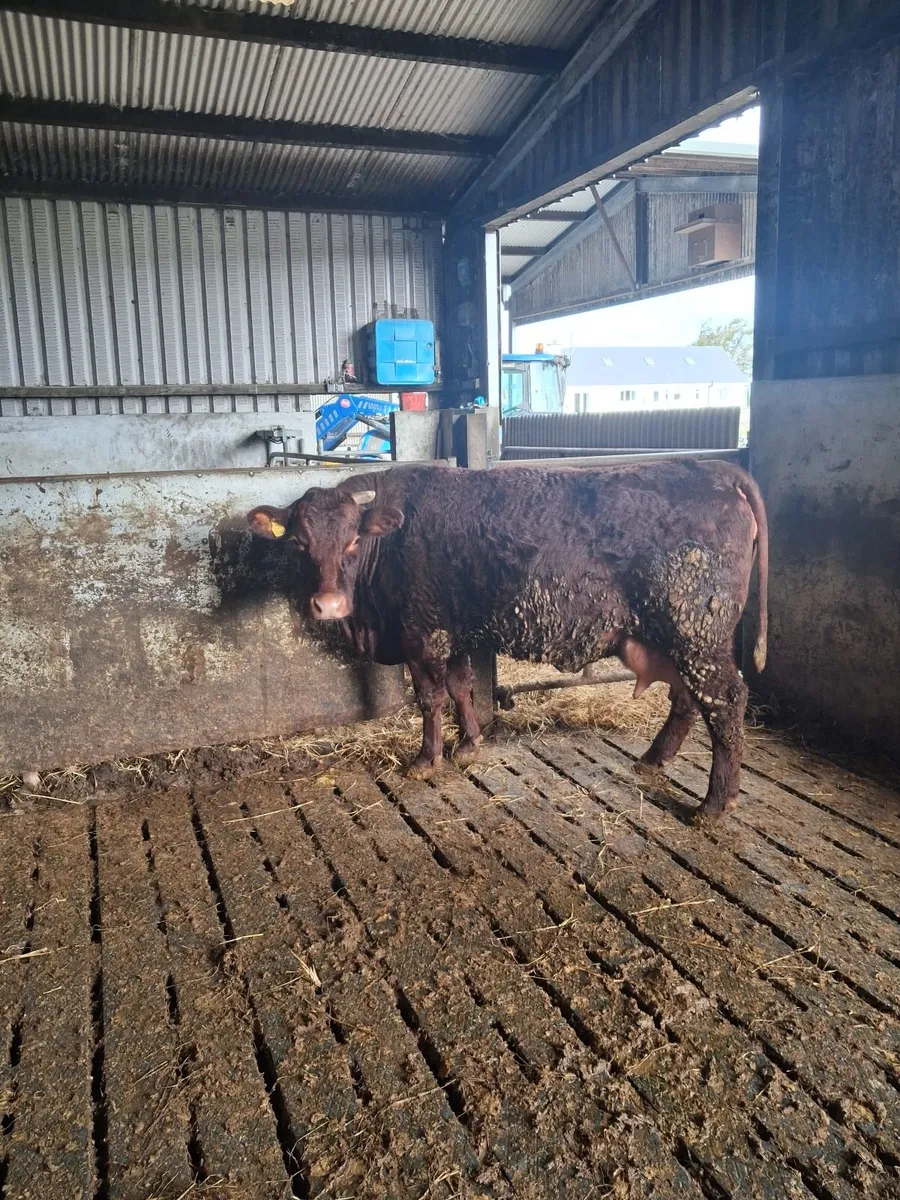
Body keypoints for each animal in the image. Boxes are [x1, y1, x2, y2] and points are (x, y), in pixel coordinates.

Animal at [248, 460, 768, 821]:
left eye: (353, 540)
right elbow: (461, 688)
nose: (328, 604)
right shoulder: (454, 633)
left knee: (725, 701)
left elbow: (431, 698)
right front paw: (468, 745)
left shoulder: (422, 636)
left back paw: (714, 805)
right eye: (298, 543)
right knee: (687, 701)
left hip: (697, 636)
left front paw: (426, 758)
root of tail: (713, 470)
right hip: (682, 641)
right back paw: (653, 760)